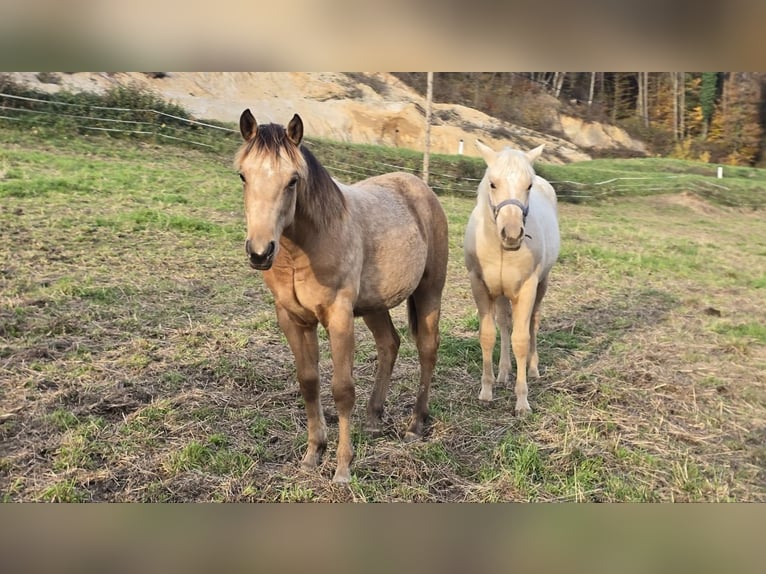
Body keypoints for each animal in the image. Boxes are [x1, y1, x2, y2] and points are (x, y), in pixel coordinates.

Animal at [234, 110, 449, 483]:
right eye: (244, 175)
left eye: (293, 180)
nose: (260, 253)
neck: (304, 248)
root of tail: (421, 189)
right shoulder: (292, 318)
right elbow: (308, 382)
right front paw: (312, 454)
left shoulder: (338, 316)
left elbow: (342, 389)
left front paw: (343, 466)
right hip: (375, 305)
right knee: (389, 343)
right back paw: (374, 417)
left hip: (429, 292)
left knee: (427, 349)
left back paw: (415, 424)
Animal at [463, 140, 560, 414]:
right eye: (492, 183)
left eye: (528, 185)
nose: (513, 234)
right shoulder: (481, 286)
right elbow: (488, 335)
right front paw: (486, 391)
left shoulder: (527, 288)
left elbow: (521, 339)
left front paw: (522, 401)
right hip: (502, 293)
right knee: (505, 324)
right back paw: (503, 373)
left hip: (541, 284)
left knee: (533, 322)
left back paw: (533, 368)